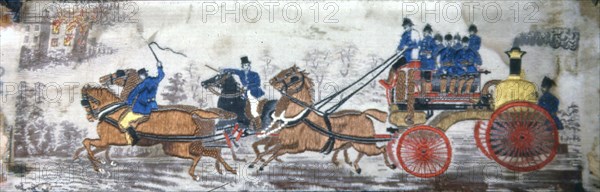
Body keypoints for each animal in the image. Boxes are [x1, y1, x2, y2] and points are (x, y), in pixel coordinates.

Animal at [79, 85, 237, 179]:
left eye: (86, 101)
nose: (89, 117)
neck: (112, 112)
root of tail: (192, 113)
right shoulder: (106, 142)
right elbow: (88, 145)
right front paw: (99, 166)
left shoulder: (106, 140)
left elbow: (87, 143)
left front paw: (99, 164)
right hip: (178, 146)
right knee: (210, 153)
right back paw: (227, 170)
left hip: (178, 147)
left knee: (201, 155)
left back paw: (197, 174)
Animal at [251, 65, 396, 173]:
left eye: (290, 75)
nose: (272, 81)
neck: (300, 118)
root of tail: (363, 114)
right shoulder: (283, 142)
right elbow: (270, 151)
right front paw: (255, 163)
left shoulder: (298, 147)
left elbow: (276, 152)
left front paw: (261, 165)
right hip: (356, 143)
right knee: (354, 151)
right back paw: (353, 165)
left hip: (364, 144)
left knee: (382, 148)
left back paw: (390, 165)